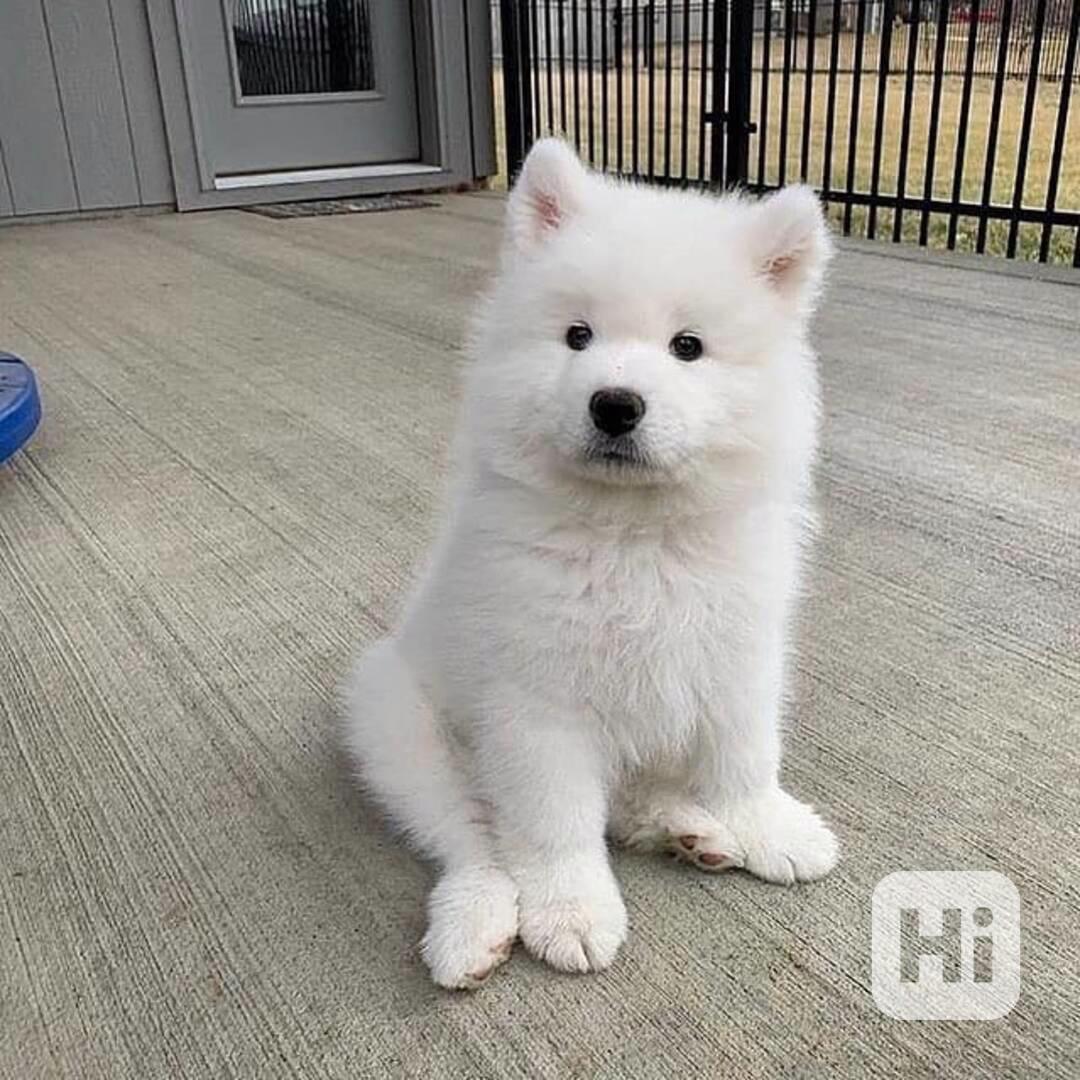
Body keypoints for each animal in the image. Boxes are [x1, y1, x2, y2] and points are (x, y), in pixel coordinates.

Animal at [343, 139, 833, 989]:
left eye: (687, 347)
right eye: (577, 336)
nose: (615, 404)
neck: (635, 536)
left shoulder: (737, 655)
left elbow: (744, 754)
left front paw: (764, 825)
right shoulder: (536, 704)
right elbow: (555, 823)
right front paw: (571, 911)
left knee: (628, 803)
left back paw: (693, 831)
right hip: (402, 724)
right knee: (471, 833)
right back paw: (473, 926)